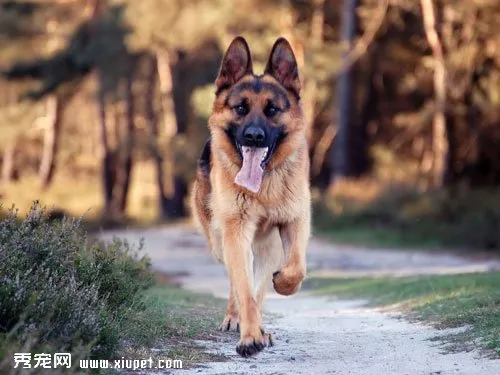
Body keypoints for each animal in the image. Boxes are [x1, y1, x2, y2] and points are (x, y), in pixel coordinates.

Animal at [190, 36, 310, 358]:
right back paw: (238, 320)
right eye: (241, 108)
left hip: (267, 248)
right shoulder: (236, 233)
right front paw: (249, 336)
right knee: (237, 282)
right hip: (221, 242)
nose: (254, 136)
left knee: (260, 284)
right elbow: (243, 289)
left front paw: (284, 284)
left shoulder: (296, 221)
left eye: (272, 110)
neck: (264, 189)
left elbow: (296, 268)